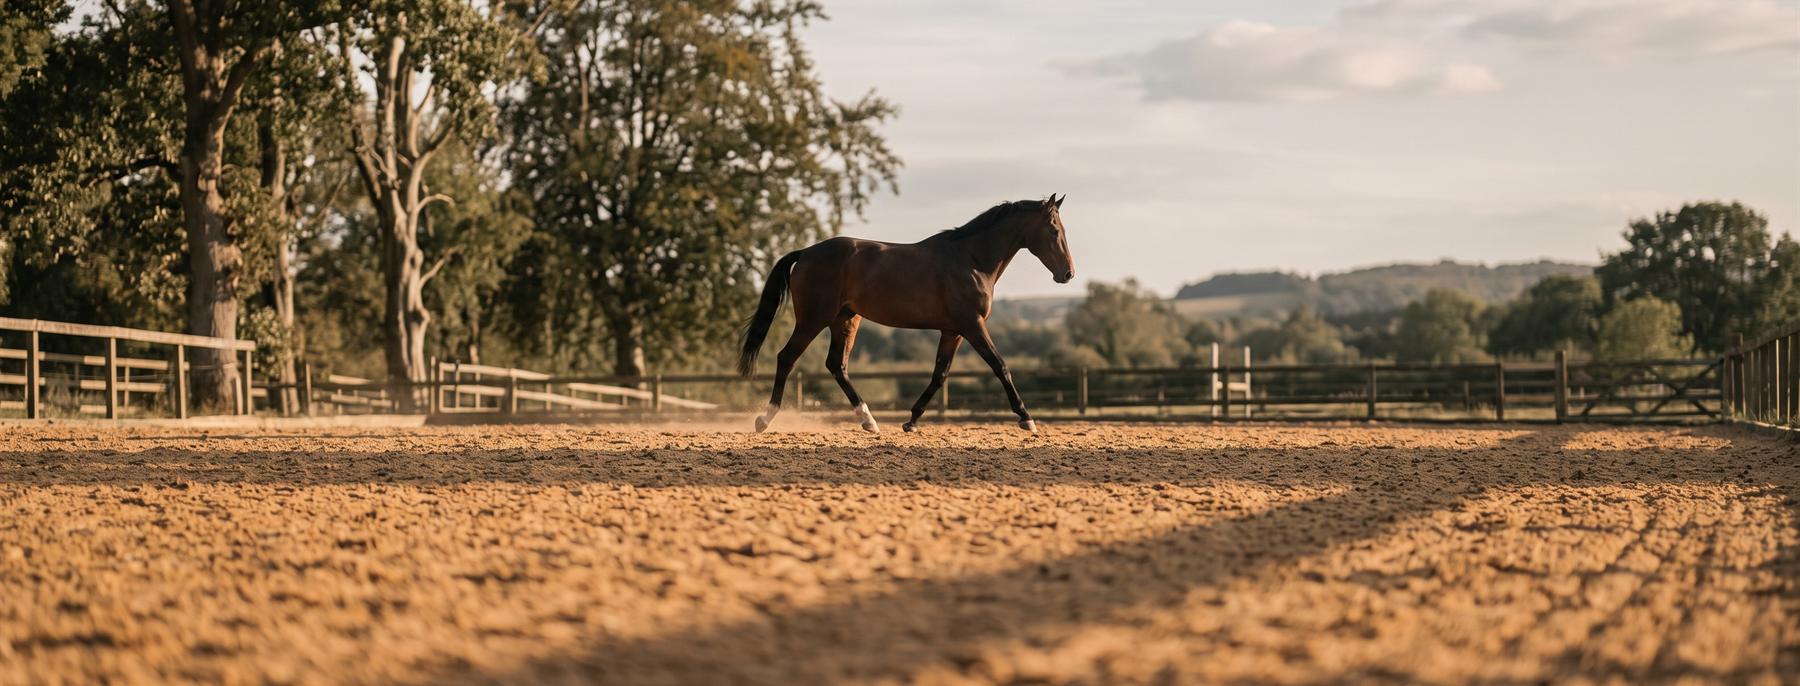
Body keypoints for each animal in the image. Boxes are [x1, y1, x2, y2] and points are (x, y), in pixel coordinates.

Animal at [738, 194, 1075, 434]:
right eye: (1053, 229)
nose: (1068, 274)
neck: (971, 260)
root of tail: (806, 252)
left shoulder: (952, 331)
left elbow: (940, 374)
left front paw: (911, 420)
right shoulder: (973, 325)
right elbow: (1000, 366)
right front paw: (1027, 418)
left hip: (845, 320)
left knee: (837, 365)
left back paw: (869, 421)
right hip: (813, 319)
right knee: (787, 357)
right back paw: (764, 419)